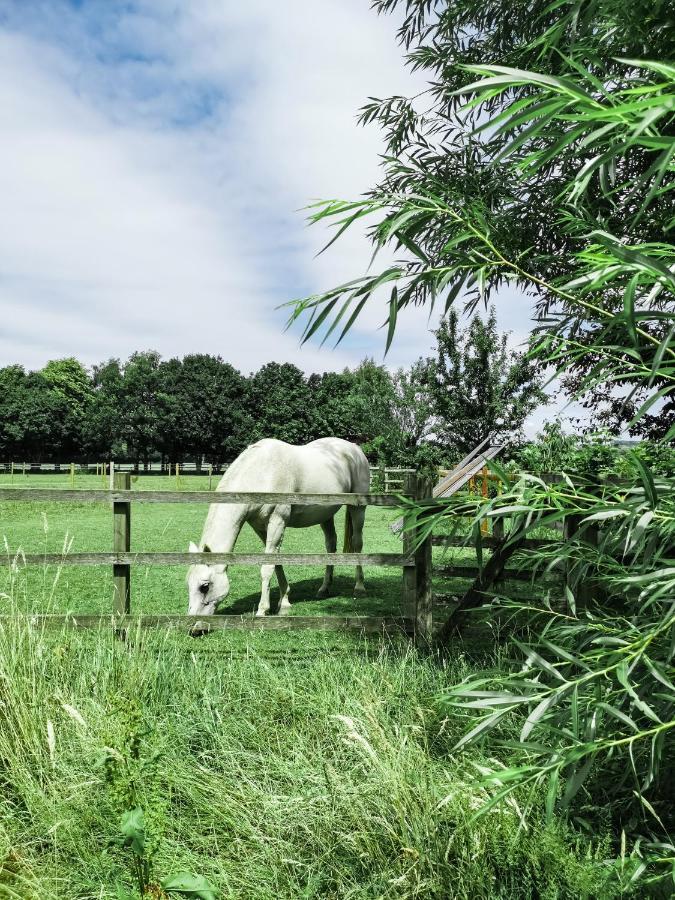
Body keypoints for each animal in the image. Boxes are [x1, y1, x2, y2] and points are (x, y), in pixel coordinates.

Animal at [187, 438, 372, 620]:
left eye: (204, 586)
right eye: (188, 584)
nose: (193, 623)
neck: (260, 473)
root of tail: (354, 448)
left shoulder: (278, 521)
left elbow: (267, 567)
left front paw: (262, 610)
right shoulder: (261, 527)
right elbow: (276, 562)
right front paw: (284, 603)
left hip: (357, 509)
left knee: (357, 543)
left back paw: (359, 587)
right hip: (326, 515)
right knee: (330, 545)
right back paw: (324, 589)